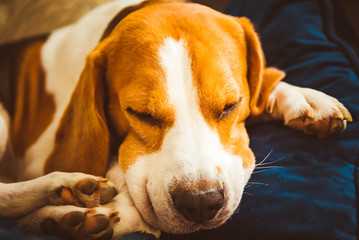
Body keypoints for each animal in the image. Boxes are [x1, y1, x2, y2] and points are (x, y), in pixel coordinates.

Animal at [0, 0, 352, 239]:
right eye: (141, 114)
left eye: (230, 105)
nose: (200, 203)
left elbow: (266, 85)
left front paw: (301, 97)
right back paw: (62, 191)